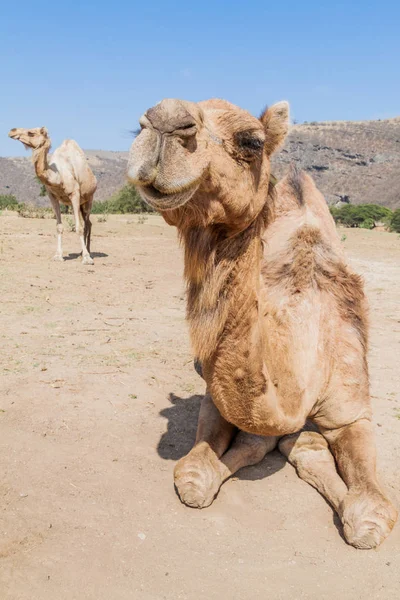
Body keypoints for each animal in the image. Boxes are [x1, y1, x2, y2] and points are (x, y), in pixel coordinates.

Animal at [8, 127, 97, 264]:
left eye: (31, 133)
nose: (12, 131)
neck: (58, 176)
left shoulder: (74, 194)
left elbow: (79, 227)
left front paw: (87, 259)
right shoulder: (52, 196)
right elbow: (59, 227)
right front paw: (58, 256)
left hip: (89, 199)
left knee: (86, 224)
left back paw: (87, 253)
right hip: (81, 204)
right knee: (89, 223)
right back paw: (81, 252)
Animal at [128, 95, 396, 548]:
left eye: (251, 141)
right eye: (138, 125)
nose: (163, 121)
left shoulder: (352, 409)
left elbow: (370, 517)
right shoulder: (217, 395)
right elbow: (196, 475)